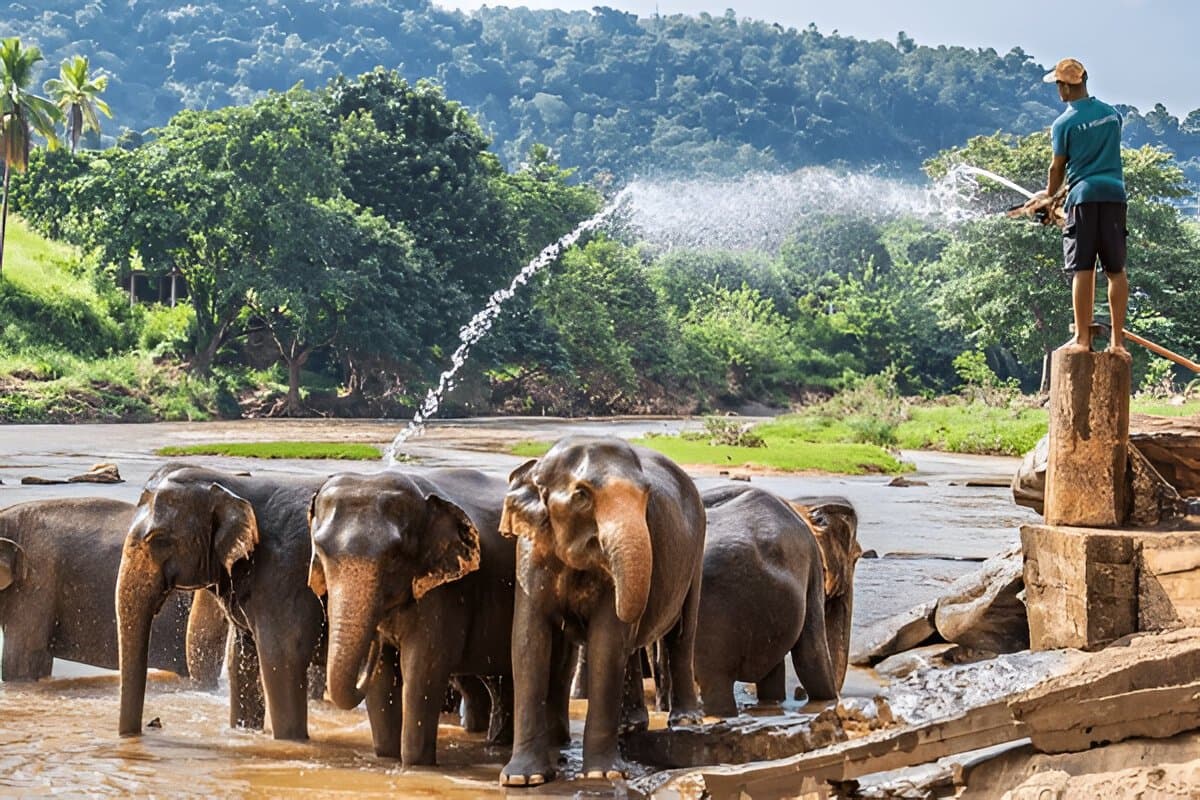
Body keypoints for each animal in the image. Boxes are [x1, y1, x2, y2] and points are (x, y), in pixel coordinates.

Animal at [118, 465, 326, 741]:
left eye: (159, 539)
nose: (150, 726)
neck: (232, 485)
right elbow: (240, 658)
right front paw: (244, 732)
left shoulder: (284, 576)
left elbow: (282, 658)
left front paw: (290, 741)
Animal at [308, 468, 518, 765]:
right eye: (321, 552)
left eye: (395, 558)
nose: (376, 639)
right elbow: (383, 682)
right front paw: (387, 758)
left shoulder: (445, 593)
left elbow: (422, 671)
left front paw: (415, 764)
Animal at [499, 436, 706, 786]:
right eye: (581, 495)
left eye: (647, 496)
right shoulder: (529, 551)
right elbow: (529, 640)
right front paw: (522, 779)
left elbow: (607, 641)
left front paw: (603, 775)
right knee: (635, 649)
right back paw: (630, 724)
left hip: (698, 551)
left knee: (683, 634)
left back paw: (686, 721)